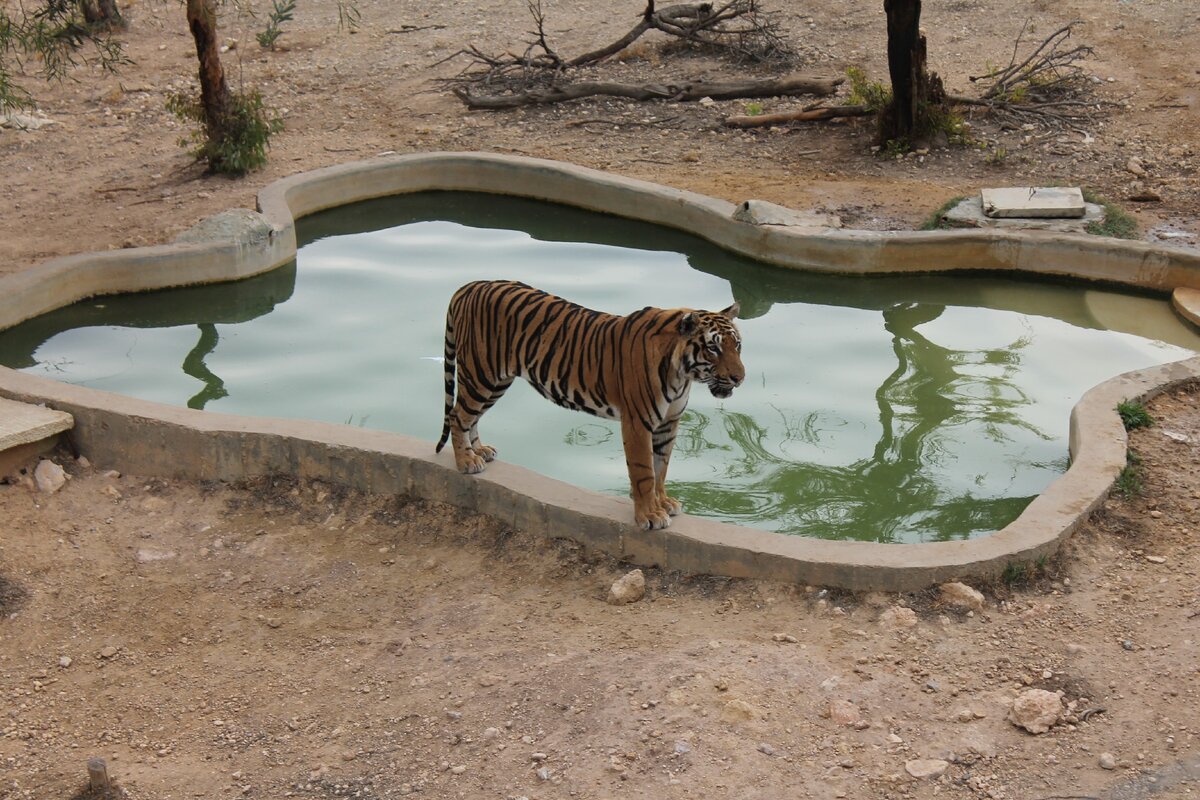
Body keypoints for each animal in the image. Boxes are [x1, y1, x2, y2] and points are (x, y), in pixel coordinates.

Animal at [436, 280, 744, 532]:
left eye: (737, 345)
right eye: (714, 348)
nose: (739, 378)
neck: (682, 375)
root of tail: (470, 286)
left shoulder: (669, 423)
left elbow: (661, 467)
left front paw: (664, 502)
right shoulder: (638, 423)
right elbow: (644, 471)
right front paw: (649, 516)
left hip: (496, 381)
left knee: (472, 417)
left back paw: (479, 451)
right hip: (481, 374)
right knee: (457, 415)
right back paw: (466, 462)